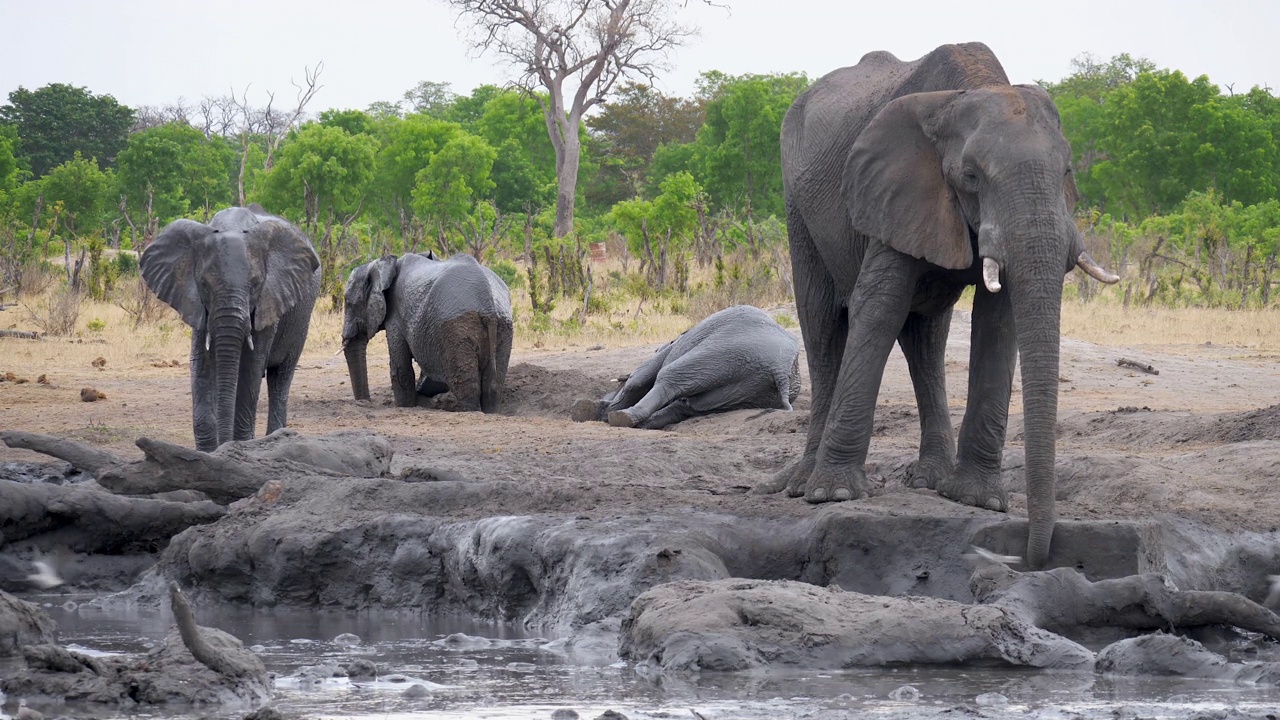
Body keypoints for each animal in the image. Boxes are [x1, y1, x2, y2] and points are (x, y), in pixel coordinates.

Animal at [138, 203, 320, 448]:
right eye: (204, 284)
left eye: (256, 284)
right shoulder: (197, 305)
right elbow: (202, 364)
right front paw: (208, 452)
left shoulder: (267, 302)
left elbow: (251, 366)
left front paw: (239, 445)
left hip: (301, 321)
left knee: (280, 376)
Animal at [345, 251, 519, 409]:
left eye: (348, 303)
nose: (365, 402)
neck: (385, 264)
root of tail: (489, 306)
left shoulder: (395, 314)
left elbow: (400, 370)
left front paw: (405, 406)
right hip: (503, 327)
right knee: (493, 384)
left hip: (456, 328)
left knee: (467, 386)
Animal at [573, 301, 798, 425]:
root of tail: (780, 368)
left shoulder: (664, 352)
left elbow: (637, 380)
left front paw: (598, 409)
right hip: (752, 388)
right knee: (690, 406)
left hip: (727, 352)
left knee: (669, 378)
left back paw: (620, 417)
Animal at [757, 43, 1121, 566]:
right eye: (970, 176)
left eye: (1067, 172)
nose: (1032, 558)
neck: (970, 91)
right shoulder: (892, 187)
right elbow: (878, 306)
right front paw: (835, 495)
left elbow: (998, 321)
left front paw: (979, 500)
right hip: (797, 206)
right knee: (823, 326)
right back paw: (804, 483)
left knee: (925, 340)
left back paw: (928, 480)